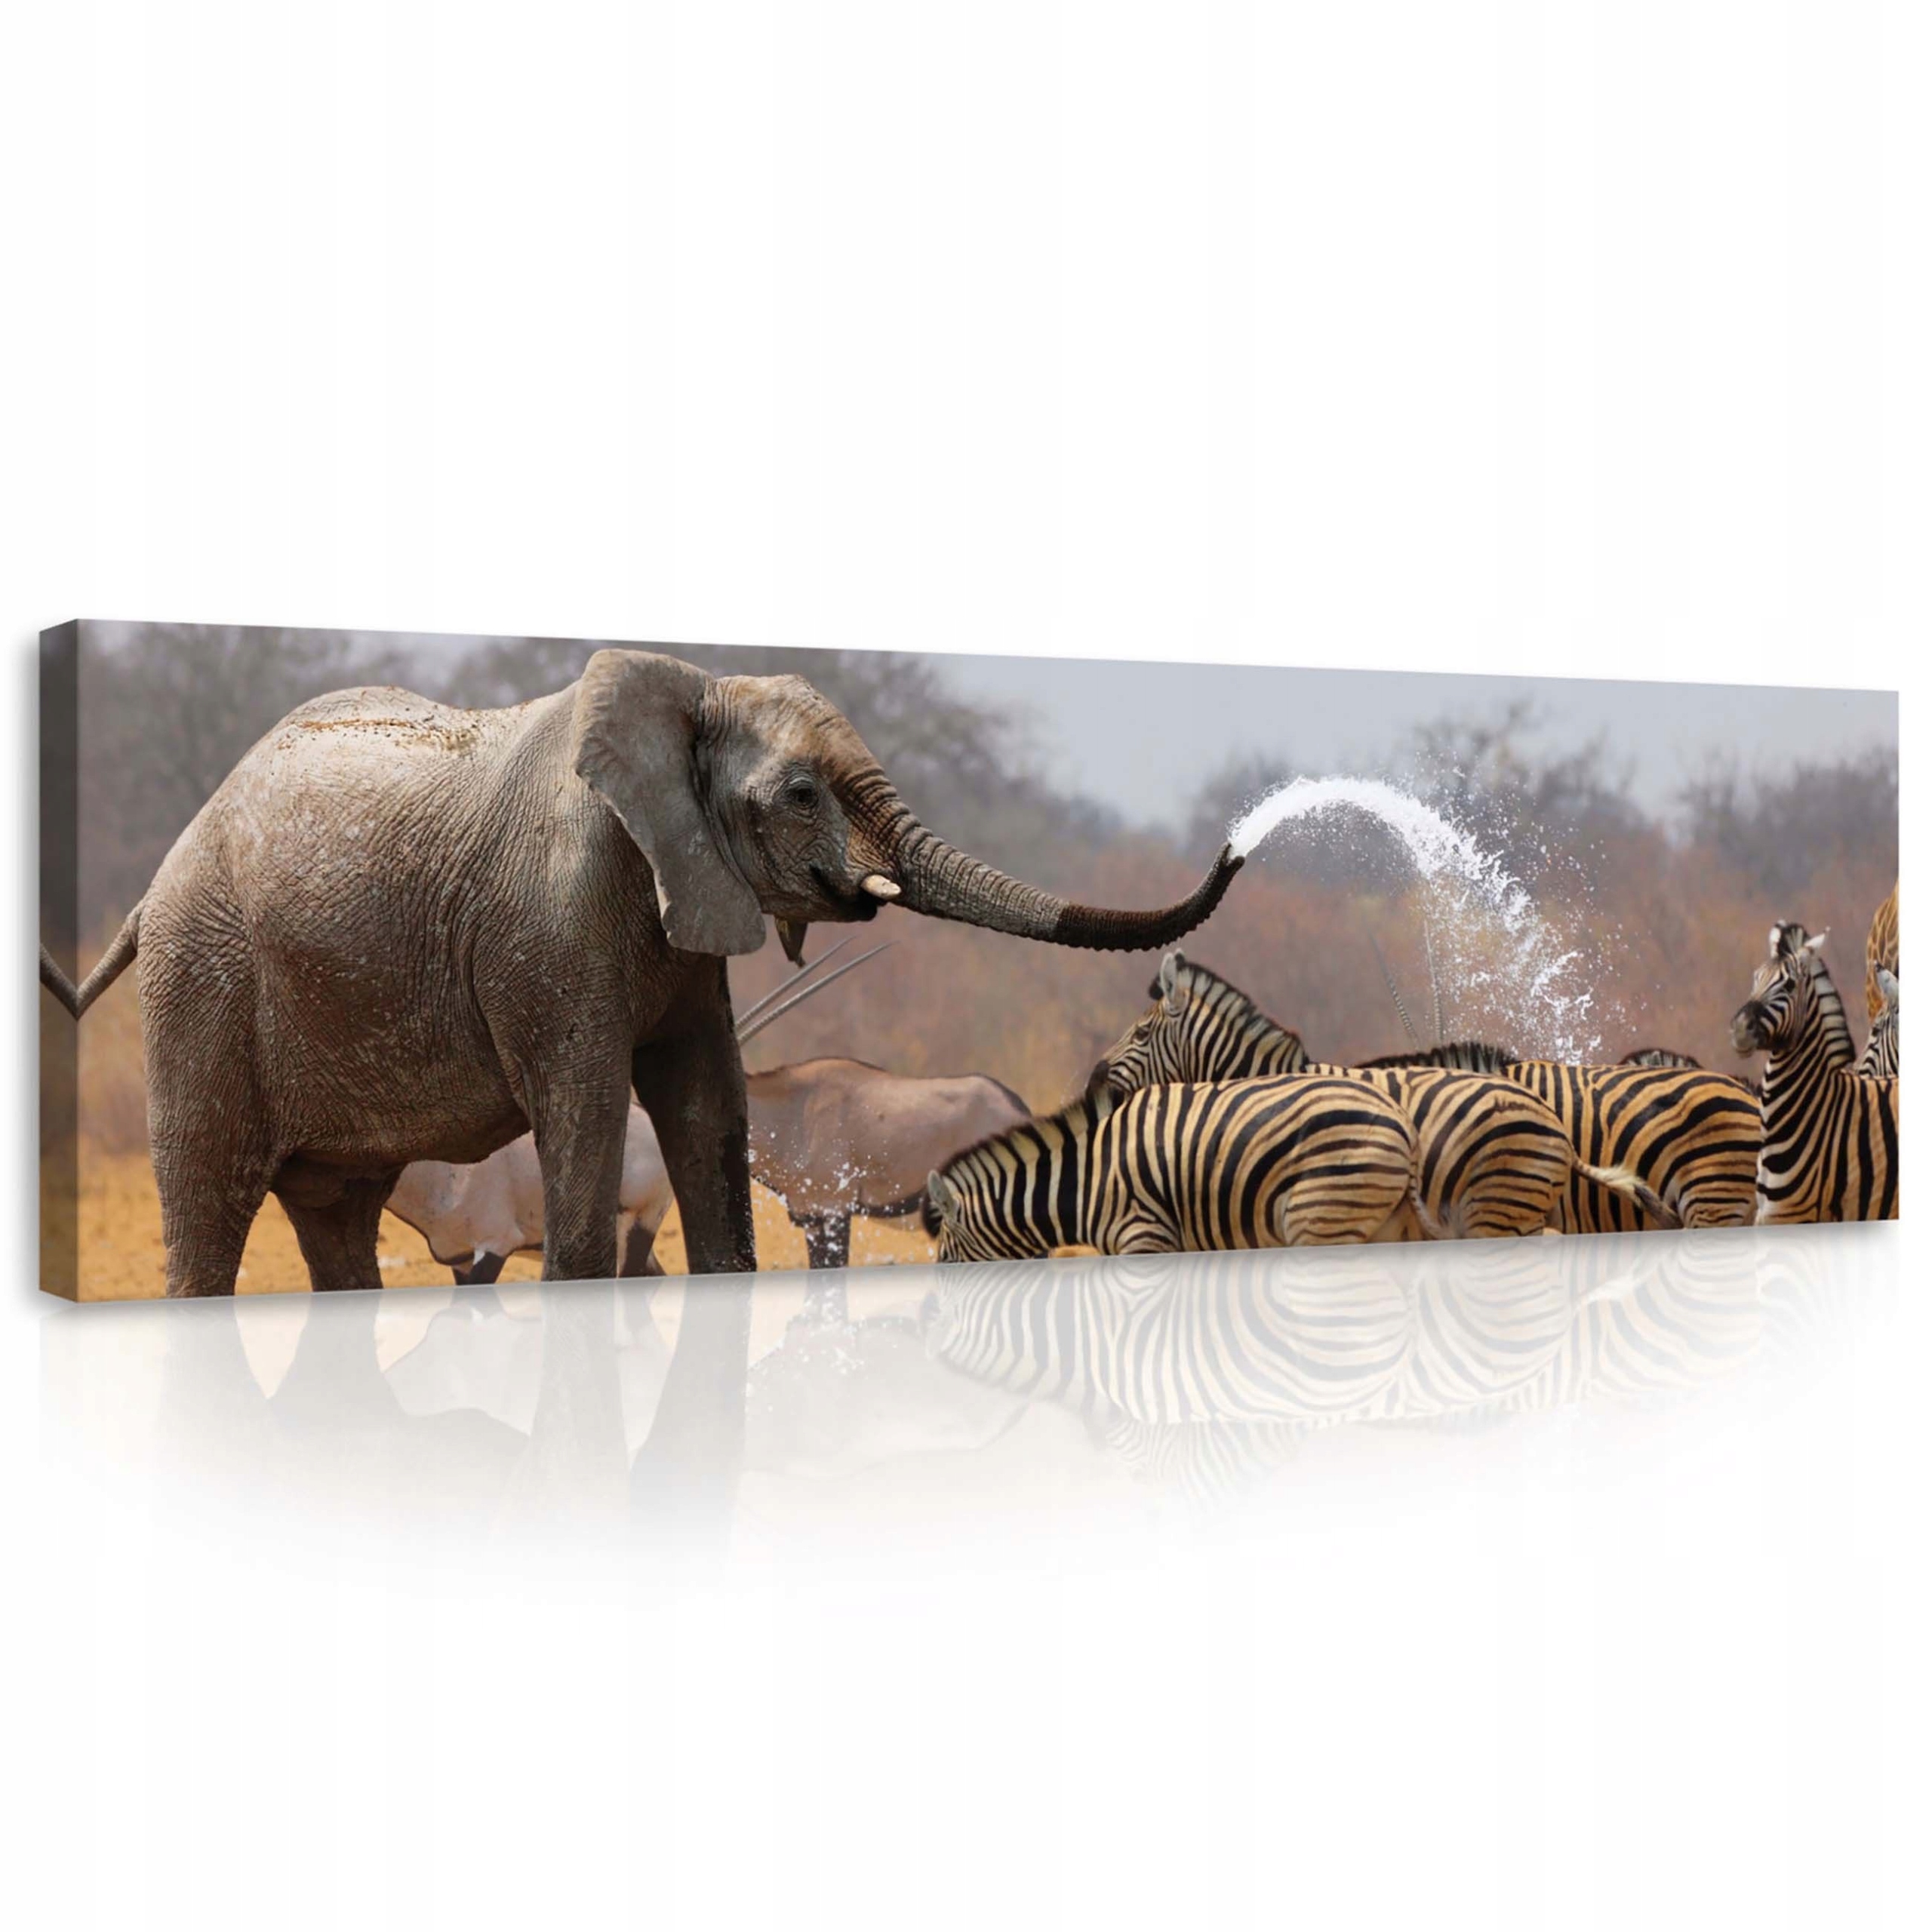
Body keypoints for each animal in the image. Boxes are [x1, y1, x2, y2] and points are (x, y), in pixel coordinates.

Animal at [921, 1074, 1421, 1260]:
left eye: (945, 1258)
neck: (1086, 1179)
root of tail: (1400, 1119)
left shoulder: (1144, 1236)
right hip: (1381, 1225)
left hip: (1322, 1219)